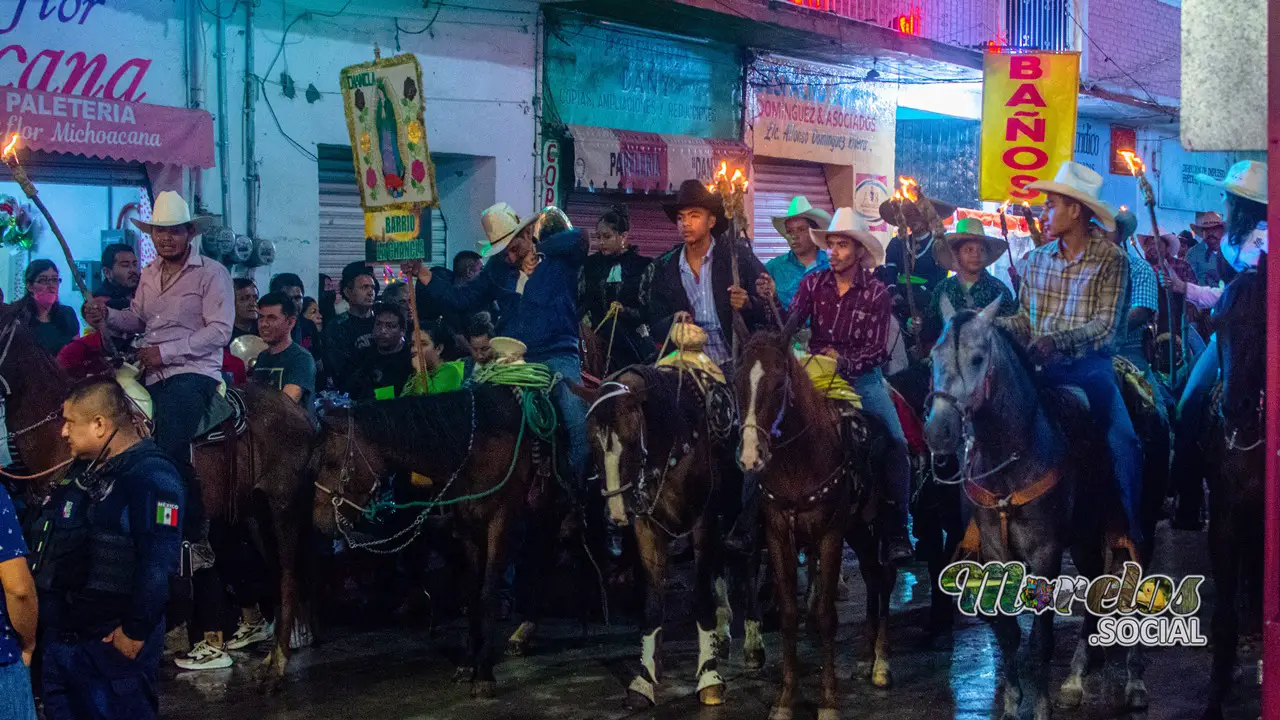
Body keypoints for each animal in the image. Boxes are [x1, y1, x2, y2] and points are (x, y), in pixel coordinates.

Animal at [583, 363, 757, 707]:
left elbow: (700, 595)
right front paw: (644, 679)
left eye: (631, 441)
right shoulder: (647, 527)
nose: (617, 513)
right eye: (593, 443)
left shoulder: (703, 521)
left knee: (753, 565)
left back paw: (754, 643)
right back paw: (724, 630)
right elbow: (653, 601)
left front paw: (709, 677)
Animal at [732, 330, 901, 717]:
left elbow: (825, 616)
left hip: (876, 525)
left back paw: (881, 663)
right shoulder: (778, 536)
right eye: (738, 382)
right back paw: (864, 658)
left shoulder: (829, 536)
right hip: (857, 529)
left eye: (780, 383)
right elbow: (789, 615)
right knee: (872, 575)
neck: (799, 462)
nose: (750, 456)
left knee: (885, 576)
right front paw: (784, 700)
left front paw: (828, 701)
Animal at [921, 299, 1162, 712]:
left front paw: (1040, 707)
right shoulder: (996, 552)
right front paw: (1011, 702)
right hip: (1084, 538)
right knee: (1095, 585)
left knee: (1134, 580)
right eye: (934, 356)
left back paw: (1134, 682)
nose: (939, 432)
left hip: (1137, 524)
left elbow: (1041, 639)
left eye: (978, 358)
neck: (1013, 456)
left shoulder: (1045, 553)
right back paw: (1076, 677)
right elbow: (1007, 632)